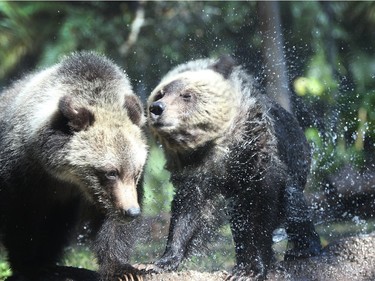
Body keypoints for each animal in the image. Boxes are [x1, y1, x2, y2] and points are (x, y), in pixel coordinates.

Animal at [0, 52, 149, 280]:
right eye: (110, 172)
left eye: (136, 172)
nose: (131, 212)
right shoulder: (22, 170)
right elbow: (22, 218)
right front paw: (29, 266)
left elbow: (112, 226)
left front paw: (122, 269)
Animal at [145, 55, 322, 278]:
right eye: (161, 92)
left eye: (186, 95)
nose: (156, 108)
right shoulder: (197, 171)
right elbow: (189, 209)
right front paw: (163, 261)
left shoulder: (257, 155)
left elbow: (259, 211)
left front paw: (252, 269)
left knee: (293, 203)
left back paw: (302, 249)